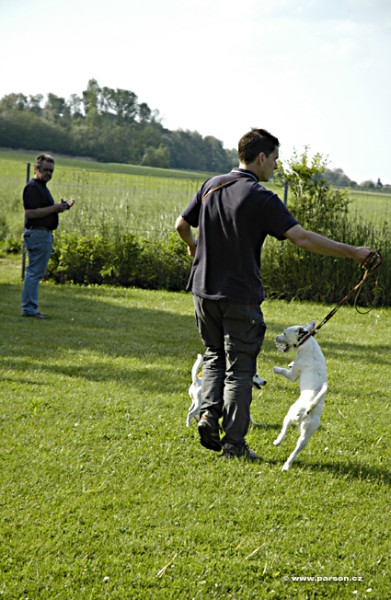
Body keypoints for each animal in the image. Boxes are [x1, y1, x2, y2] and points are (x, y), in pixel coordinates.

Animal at [274, 322, 330, 472]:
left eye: (284, 333)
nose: (276, 337)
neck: (306, 340)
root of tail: (309, 408)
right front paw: (290, 363)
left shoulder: (292, 376)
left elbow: (286, 372)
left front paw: (277, 369)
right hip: (306, 436)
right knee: (295, 451)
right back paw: (286, 466)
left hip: (289, 415)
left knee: (283, 431)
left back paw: (277, 442)